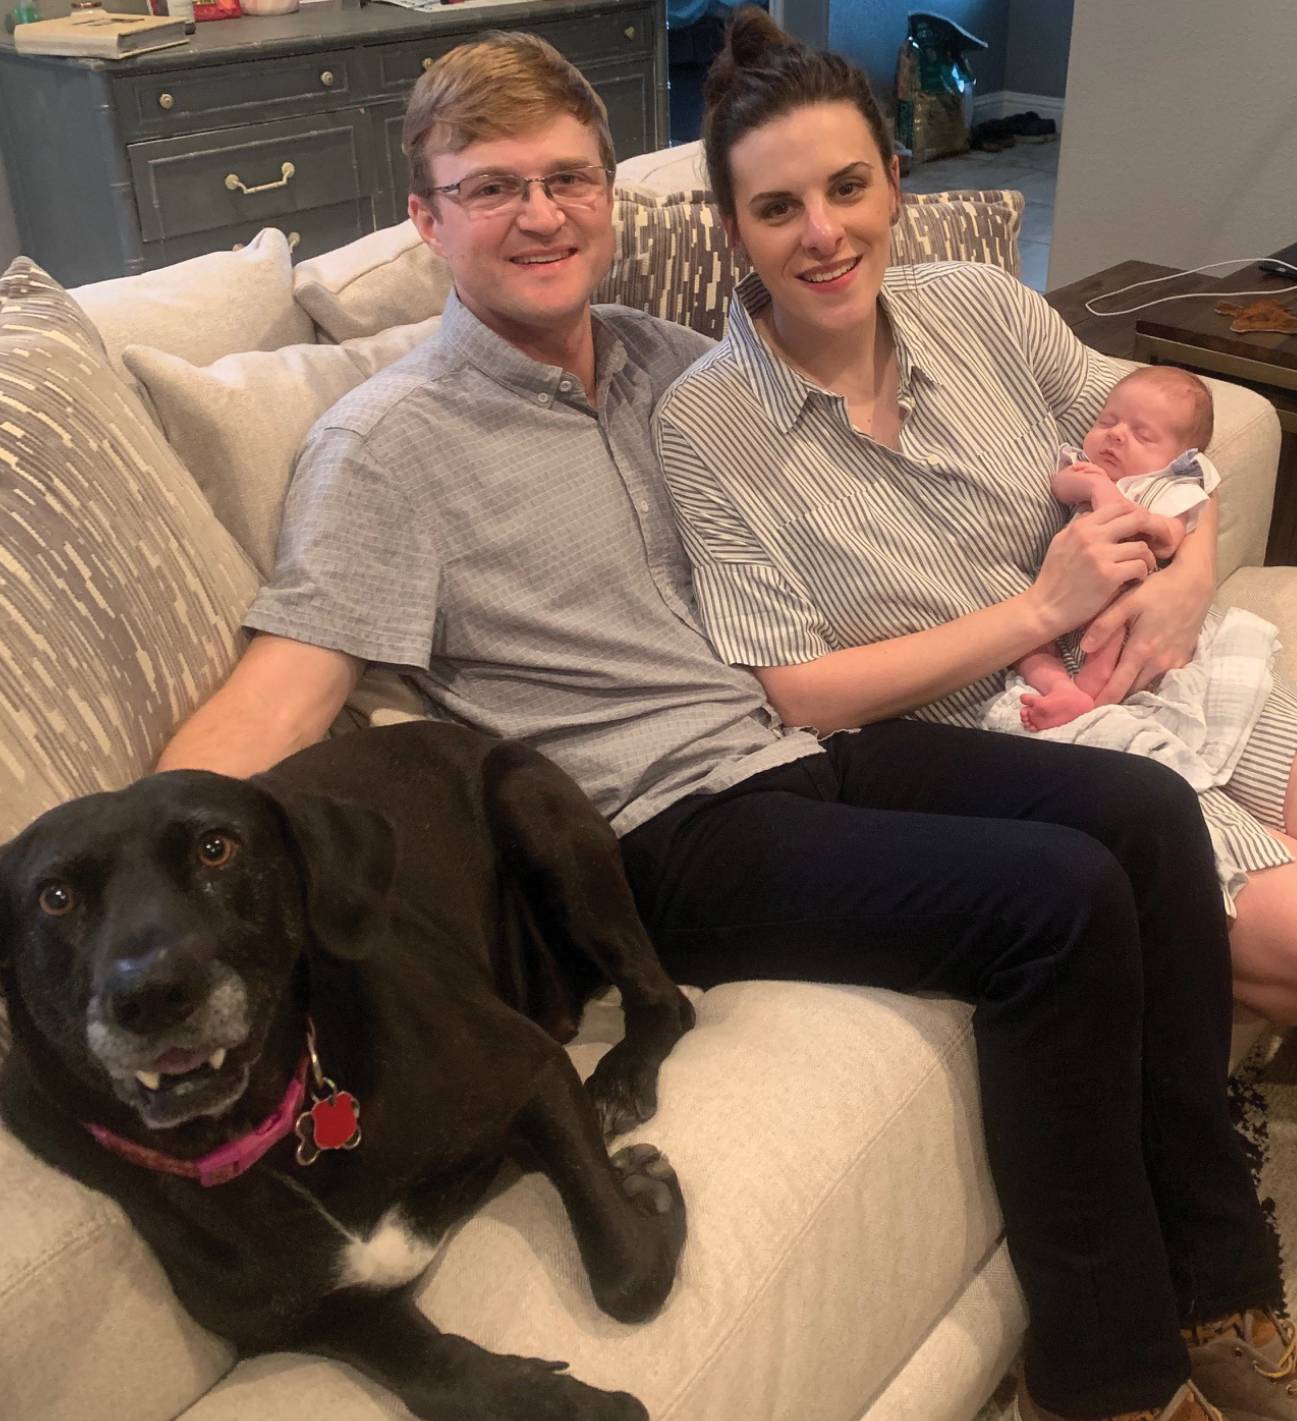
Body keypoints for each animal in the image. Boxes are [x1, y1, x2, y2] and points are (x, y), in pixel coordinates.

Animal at [0, 727, 698, 1415]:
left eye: (215, 849)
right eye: (55, 897)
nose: (151, 996)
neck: (274, 1129)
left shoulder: (534, 1074)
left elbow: (627, 1275)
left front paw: (642, 1194)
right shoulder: (311, 1317)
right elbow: (440, 1377)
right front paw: (556, 1401)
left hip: (536, 812)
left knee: (667, 999)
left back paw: (621, 1079)